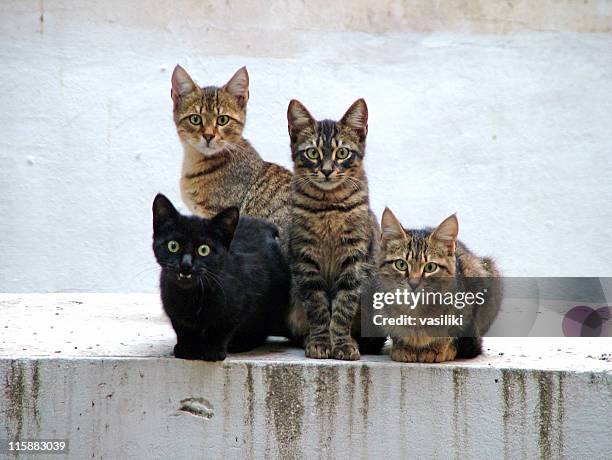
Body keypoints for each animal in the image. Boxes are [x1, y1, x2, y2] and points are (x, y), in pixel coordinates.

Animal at [151, 193, 290, 360]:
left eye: (204, 249)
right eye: (173, 245)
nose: (186, 264)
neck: (192, 296)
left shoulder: (235, 308)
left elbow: (220, 328)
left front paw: (212, 352)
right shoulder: (174, 309)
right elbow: (183, 328)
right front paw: (186, 349)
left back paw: (241, 344)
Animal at [286, 99, 382, 360]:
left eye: (342, 153)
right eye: (312, 153)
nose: (327, 170)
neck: (328, 207)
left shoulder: (354, 258)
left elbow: (343, 308)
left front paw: (342, 344)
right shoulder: (305, 259)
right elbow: (318, 308)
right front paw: (320, 342)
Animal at [378, 208, 502, 362]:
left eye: (430, 267)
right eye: (401, 264)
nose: (413, 284)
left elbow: (450, 333)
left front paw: (435, 349)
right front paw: (402, 347)